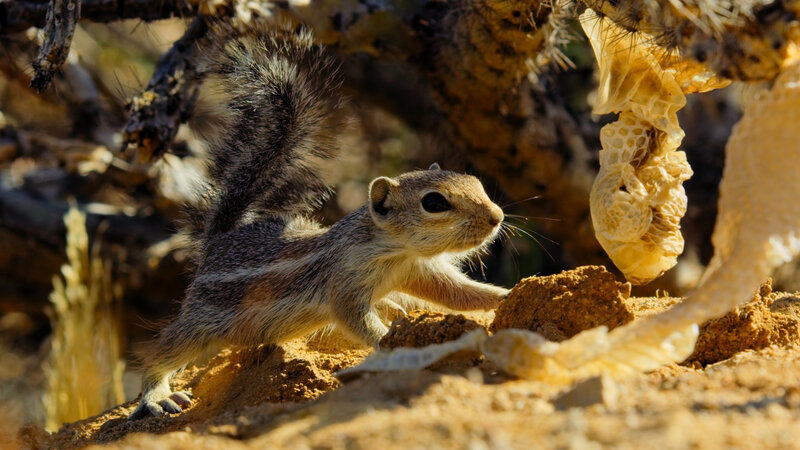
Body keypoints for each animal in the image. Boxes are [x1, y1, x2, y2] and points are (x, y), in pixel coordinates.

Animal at [129, 23, 510, 418]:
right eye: (434, 202)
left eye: (475, 182)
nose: (496, 217)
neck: (397, 251)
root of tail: (217, 240)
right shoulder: (345, 280)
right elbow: (356, 319)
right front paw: (392, 343)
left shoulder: (419, 271)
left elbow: (462, 295)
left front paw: (508, 295)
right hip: (202, 320)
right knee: (164, 351)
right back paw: (157, 395)